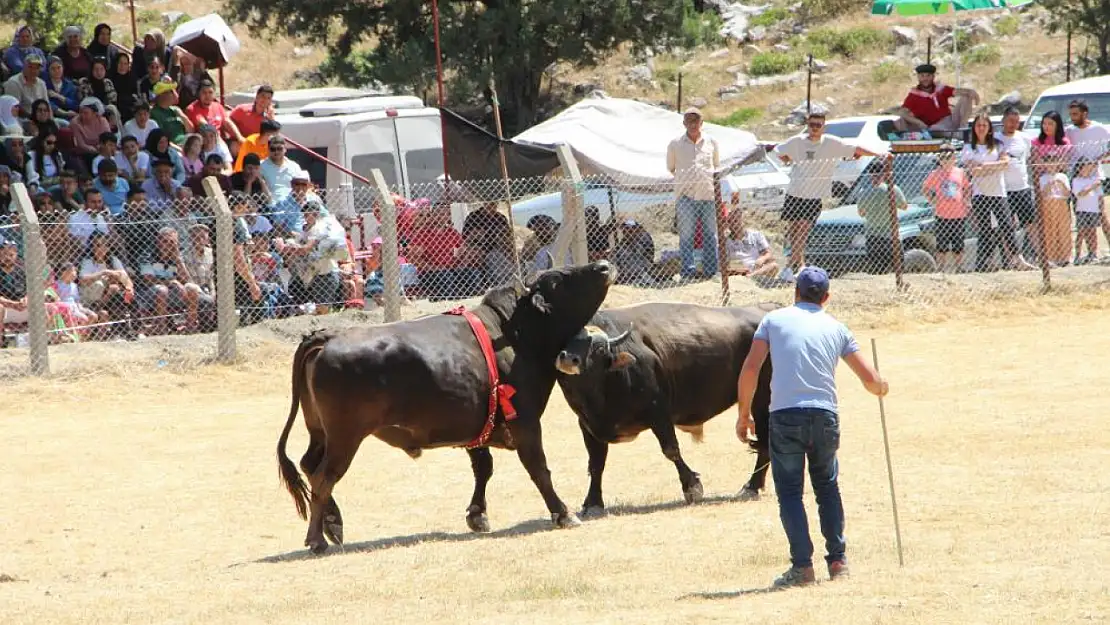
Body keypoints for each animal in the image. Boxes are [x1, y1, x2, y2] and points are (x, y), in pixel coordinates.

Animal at [269, 261, 617, 555]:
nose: (603, 266)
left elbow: (483, 467)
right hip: (345, 437)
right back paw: (317, 538)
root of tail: (326, 336)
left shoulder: (479, 423)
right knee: (324, 477)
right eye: (558, 280)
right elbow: (538, 467)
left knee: (309, 465)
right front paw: (563, 513)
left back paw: (333, 524)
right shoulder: (525, 421)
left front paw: (477, 515)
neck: (517, 334)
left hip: (320, 432)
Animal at [550, 301, 777, 512]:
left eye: (598, 348)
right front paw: (593, 502)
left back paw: (751, 486)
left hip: (762, 399)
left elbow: (671, 450)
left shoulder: (658, 412)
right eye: (567, 340)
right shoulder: (587, 425)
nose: (568, 359)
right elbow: (596, 463)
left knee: (765, 441)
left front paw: (692, 487)